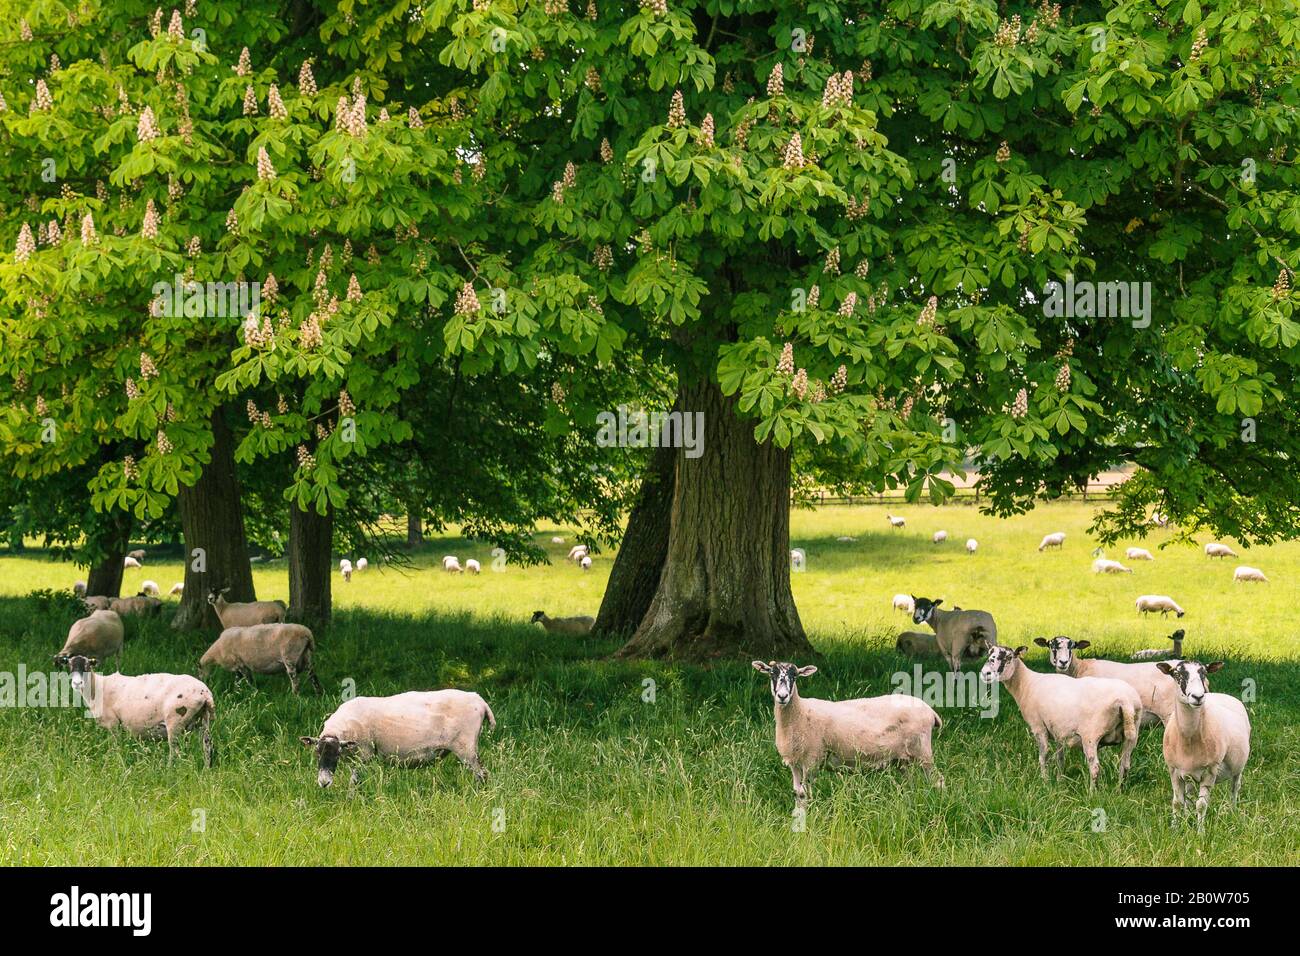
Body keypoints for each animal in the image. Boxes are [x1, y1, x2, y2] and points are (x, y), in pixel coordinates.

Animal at [53, 654, 214, 766]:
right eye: (69, 666)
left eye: (87, 666)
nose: (77, 683)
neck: (98, 687)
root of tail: (205, 693)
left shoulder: (113, 723)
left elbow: (115, 747)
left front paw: (116, 765)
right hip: (202, 719)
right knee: (207, 746)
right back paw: (206, 770)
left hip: (176, 720)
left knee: (175, 751)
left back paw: (170, 771)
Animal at [301, 689, 495, 788]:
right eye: (317, 754)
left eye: (335, 755)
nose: (323, 783)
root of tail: (481, 701)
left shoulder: (364, 754)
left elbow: (354, 781)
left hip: (466, 748)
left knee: (482, 774)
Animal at [752, 661, 943, 805]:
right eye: (772, 674)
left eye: (795, 675)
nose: (782, 696)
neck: (800, 712)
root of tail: (930, 710)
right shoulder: (794, 761)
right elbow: (797, 792)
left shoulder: (812, 760)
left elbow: (806, 793)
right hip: (901, 759)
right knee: (909, 785)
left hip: (923, 752)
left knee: (938, 781)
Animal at [979, 644, 1140, 791]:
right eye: (989, 654)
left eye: (1008, 657)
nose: (985, 673)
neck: (1025, 684)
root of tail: (1125, 700)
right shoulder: (1059, 732)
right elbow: (1060, 758)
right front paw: (1059, 781)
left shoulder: (1039, 727)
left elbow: (1043, 756)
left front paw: (1044, 782)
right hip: (1132, 734)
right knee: (1125, 765)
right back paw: (1119, 790)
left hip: (1090, 735)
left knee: (1095, 767)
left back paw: (1092, 794)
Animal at [1155, 659, 1251, 829]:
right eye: (1177, 674)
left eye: (1204, 673)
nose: (1198, 697)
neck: (1188, 738)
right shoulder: (1173, 770)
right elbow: (1177, 802)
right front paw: (1175, 828)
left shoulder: (1210, 771)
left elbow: (1201, 805)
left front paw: (1200, 832)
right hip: (1189, 774)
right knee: (1189, 795)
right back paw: (1188, 816)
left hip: (1238, 767)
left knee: (1235, 788)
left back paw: (1232, 812)